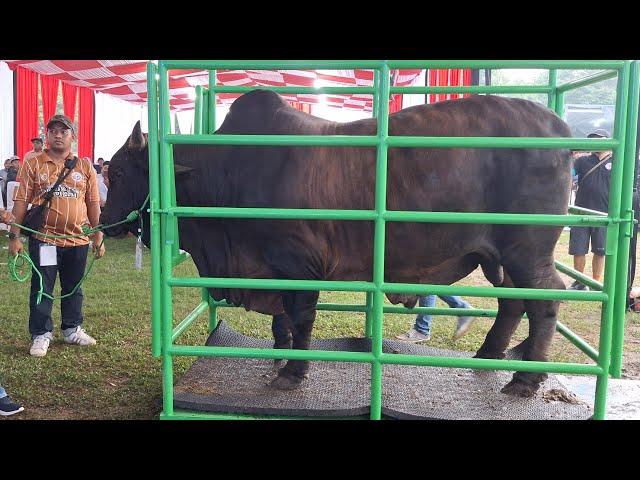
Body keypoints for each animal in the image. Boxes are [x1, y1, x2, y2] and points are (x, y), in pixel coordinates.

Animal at [102, 90, 572, 398]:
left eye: (120, 171)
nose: (104, 223)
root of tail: (559, 128)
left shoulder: (299, 264)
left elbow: (301, 317)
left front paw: (293, 372)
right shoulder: (275, 270)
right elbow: (283, 320)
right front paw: (279, 354)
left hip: (527, 252)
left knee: (546, 300)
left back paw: (525, 379)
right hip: (498, 258)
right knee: (513, 302)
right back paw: (490, 356)